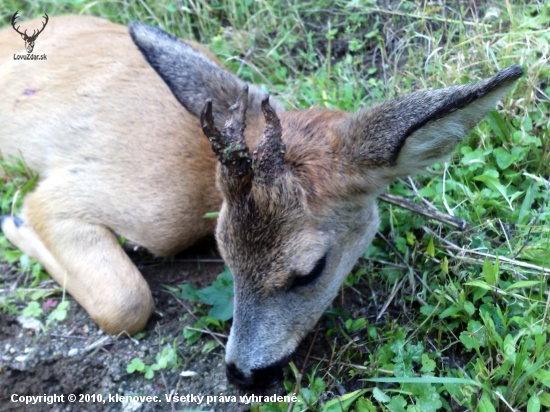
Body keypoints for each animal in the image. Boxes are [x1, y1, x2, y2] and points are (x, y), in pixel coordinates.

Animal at [0, 15, 524, 390]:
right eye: (224, 253)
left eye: (311, 270)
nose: (239, 373)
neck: (198, 175)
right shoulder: (110, 200)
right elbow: (126, 300)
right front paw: (14, 222)